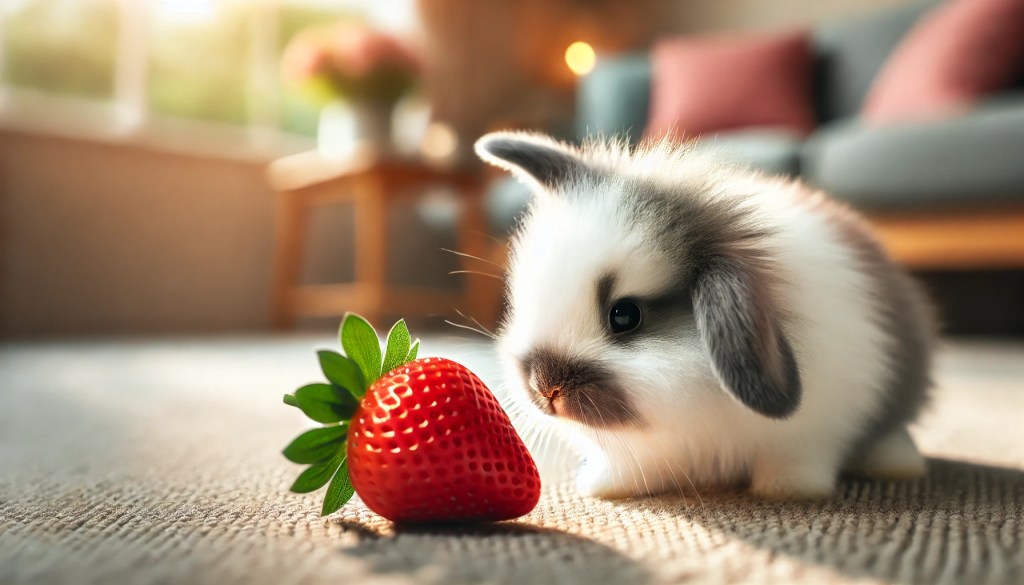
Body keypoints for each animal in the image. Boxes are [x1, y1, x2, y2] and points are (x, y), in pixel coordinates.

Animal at [474, 131, 936, 500]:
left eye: (625, 316)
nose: (545, 388)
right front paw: (604, 488)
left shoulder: (808, 438)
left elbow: (796, 464)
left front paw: (786, 491)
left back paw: (898, 464)